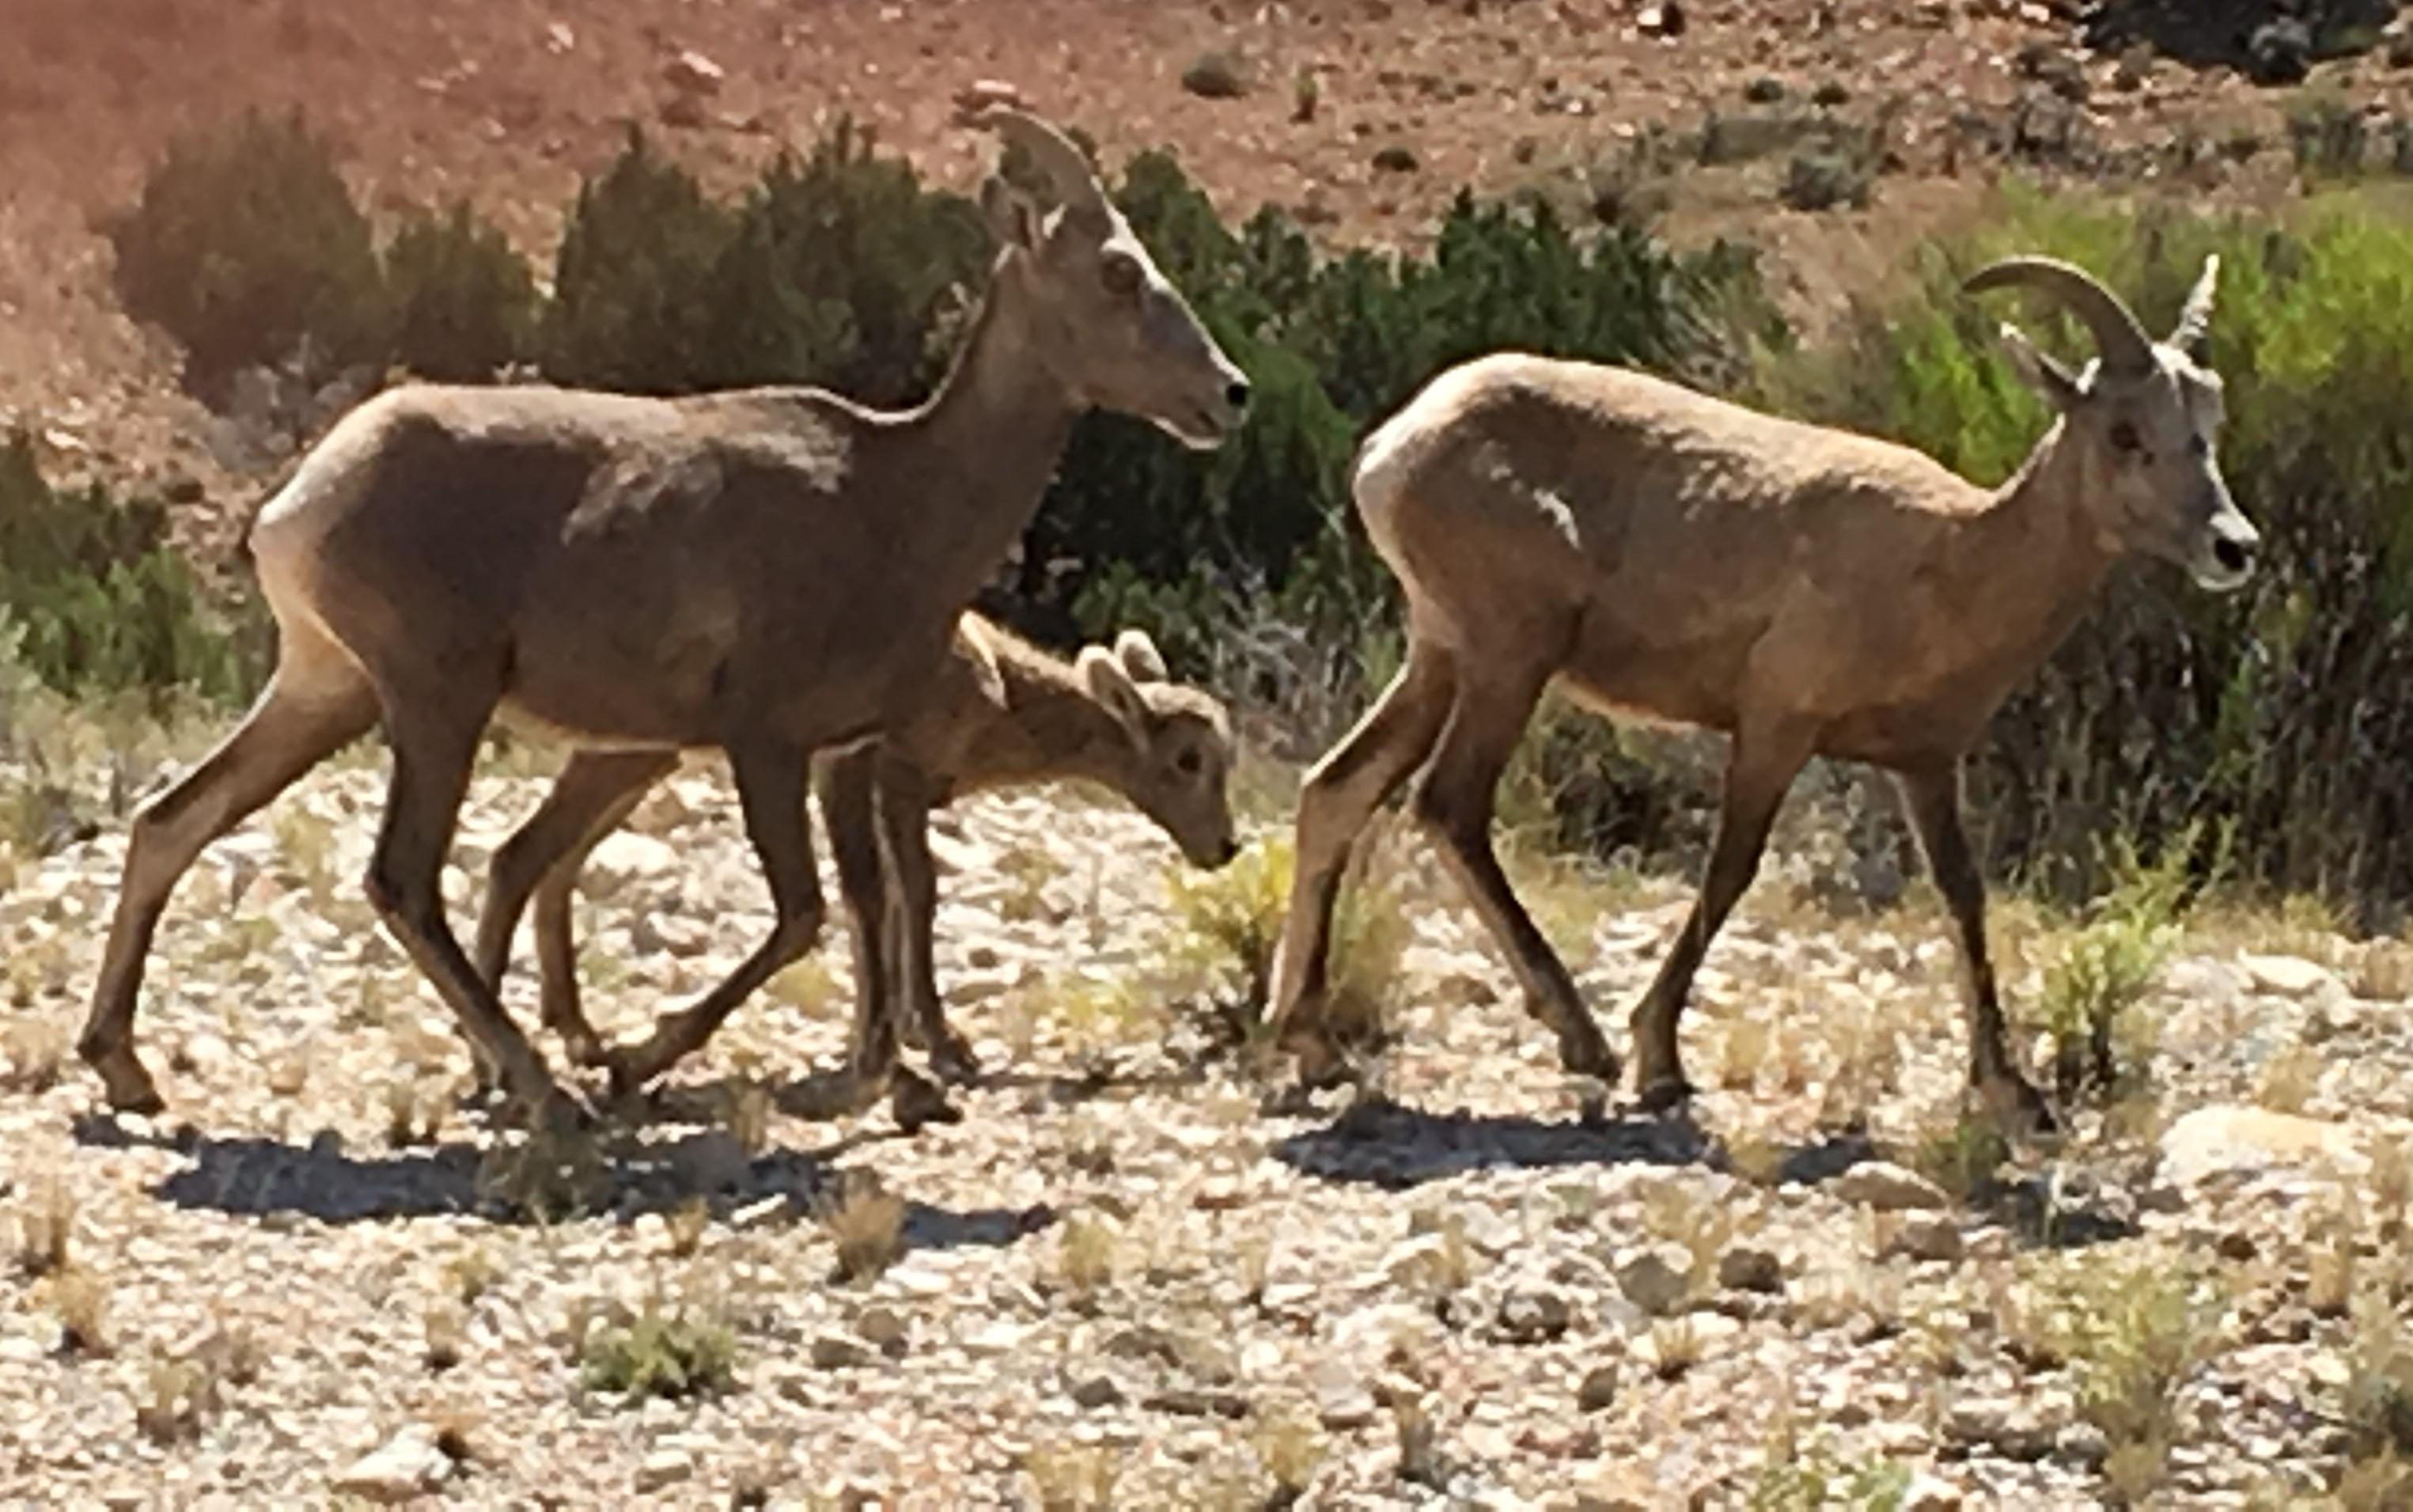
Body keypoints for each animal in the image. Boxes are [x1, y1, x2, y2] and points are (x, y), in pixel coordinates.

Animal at [465, 615, 1244, 1089]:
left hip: (633, 757)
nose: (1225, 846)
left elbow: (883, 899)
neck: (999, 704)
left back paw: (574, 1038)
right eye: (1187, 759)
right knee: (530, 855)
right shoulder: (889, 773)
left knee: (536, 857)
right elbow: (911, 895)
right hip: (634, 756)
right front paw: (934, 1044)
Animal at [1274, 254, 2248, 1138]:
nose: (2232, 546)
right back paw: (1583, 1041)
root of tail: (1392, 450)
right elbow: (1729, 873)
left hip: (1439, 655)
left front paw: (2016, 1095)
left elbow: (1963, 897)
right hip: (1506, 659)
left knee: (1338, 788)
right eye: (2123, 432)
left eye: (2209, 416)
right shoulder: (1776, 728)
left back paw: (1312, 1043)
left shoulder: (1924, 765)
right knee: (1449, 804)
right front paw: (1661, 1063)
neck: (1951, 562)